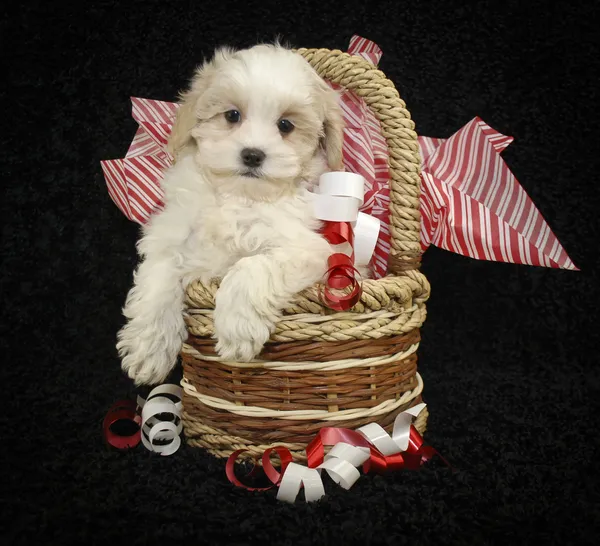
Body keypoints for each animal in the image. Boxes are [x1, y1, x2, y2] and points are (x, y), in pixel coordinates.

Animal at [117, 43, 344, 382]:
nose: (252, 154)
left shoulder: (308, 249)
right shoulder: (171, 238)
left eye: (285, 125)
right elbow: (158, 276)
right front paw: (149, 346)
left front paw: (237, 329)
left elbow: (251, 265)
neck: (237, 197)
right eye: (232, 115)